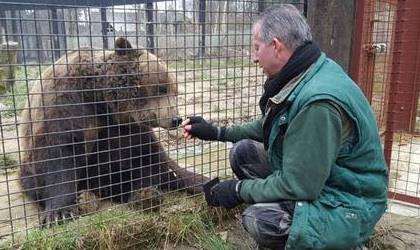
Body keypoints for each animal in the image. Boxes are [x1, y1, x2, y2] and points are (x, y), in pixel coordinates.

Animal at [18, 38, 208, 226]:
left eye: (176, 91)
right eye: (162, 88)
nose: (176, 119)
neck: (100, 101)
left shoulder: (124, 128)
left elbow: (137, 156)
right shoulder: (65, 104)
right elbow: (58, 154)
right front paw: (60, 213)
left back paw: (144, 194)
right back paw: (88, 197)